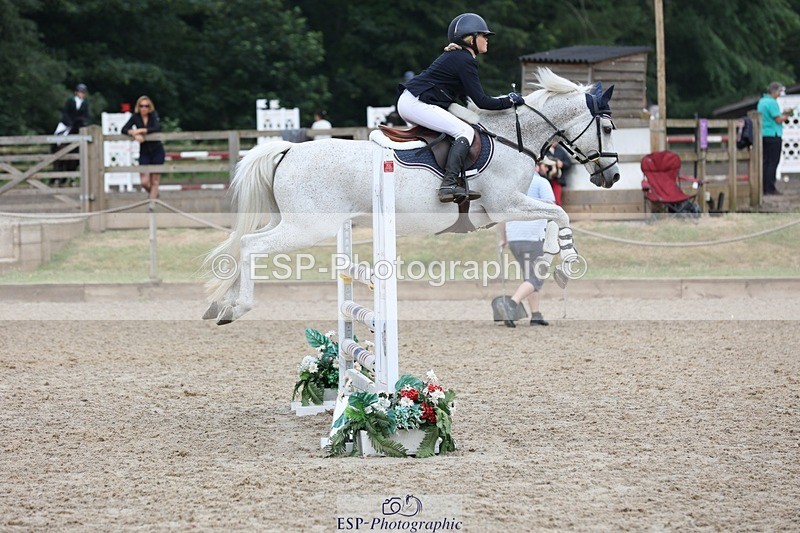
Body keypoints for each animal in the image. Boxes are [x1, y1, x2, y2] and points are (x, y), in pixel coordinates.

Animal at [203, 67, 620, 324]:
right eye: (608, 128)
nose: (613, 175)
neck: (511, 138)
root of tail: (288, 149)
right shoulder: (505, 206)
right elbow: (558, 212)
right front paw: (566, 261)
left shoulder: (506, 209)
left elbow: (554, 214)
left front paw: (556, 257)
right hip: (309, 227)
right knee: (251, 245)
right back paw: (237, 307)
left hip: (292, 220)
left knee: (244, 242)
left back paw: (220, 304)